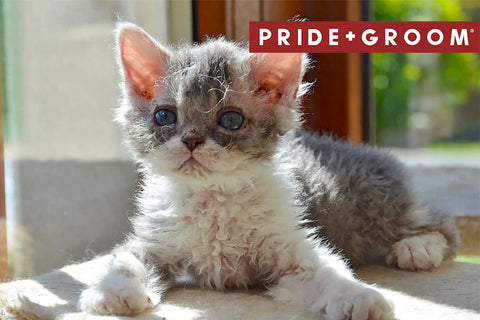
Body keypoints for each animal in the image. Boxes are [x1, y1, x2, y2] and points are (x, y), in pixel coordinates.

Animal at [78, 23, 458, 320]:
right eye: (164, 116)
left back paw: (418, 248)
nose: (191, 141)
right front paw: (113, 291)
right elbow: (126, 260)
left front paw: (360, 296)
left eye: (231, 120)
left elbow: (329, 272)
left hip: (375, 206)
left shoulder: (293, 247)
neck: (212, 199)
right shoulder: (152, 240)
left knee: (440, 222)